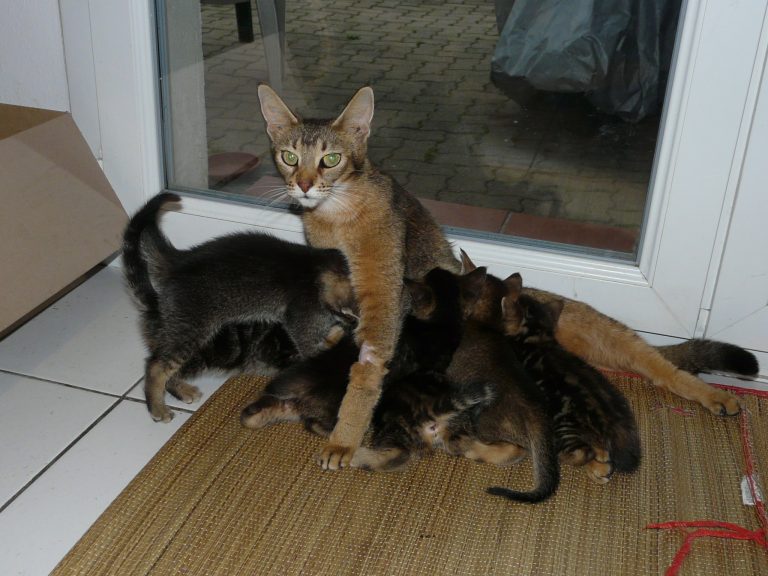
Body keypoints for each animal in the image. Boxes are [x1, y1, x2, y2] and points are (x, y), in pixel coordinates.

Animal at [122, 192, 355, 422]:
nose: (352, 322)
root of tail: (180, 260)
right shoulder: (303, 322)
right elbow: (313, 353)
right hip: (190, 328)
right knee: (156, 366)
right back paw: (157, 407)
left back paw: (182, 390)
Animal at [257, 85, 461, 469]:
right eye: (289, 157)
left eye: (331, 159)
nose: (303, 185)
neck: (335, 216)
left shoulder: (384, 295)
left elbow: (368, 366)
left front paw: (344, 439)